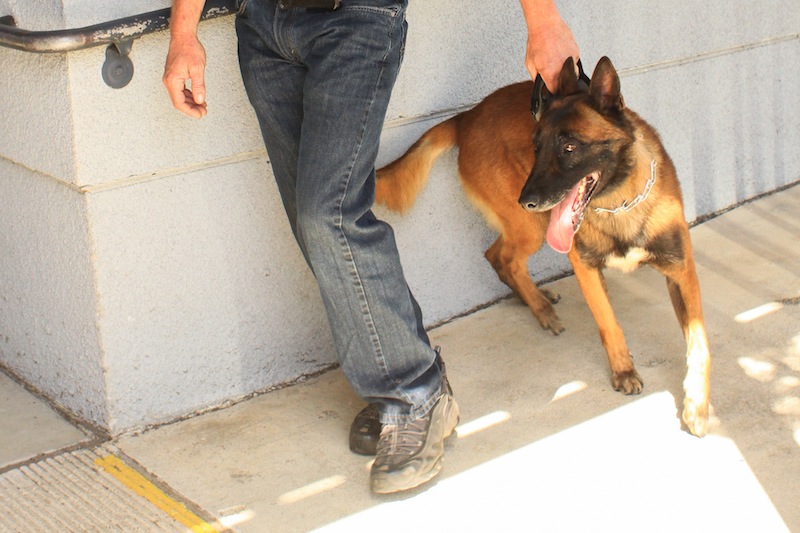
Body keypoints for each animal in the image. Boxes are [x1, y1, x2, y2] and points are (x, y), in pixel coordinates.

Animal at [378, 56, 708, 436]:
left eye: (569, 147)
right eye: (536, 147)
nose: (526, 200)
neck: (619, 203)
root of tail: (466, 117)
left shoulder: (682, 271)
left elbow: (699, 343)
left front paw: (697, 405)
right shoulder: (585, 267)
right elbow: (609, 323)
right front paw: (624, 370)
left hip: (529, 225)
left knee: (497, 255)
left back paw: (534, 298)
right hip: (532, 227)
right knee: (503, 257)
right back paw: (540, 308)